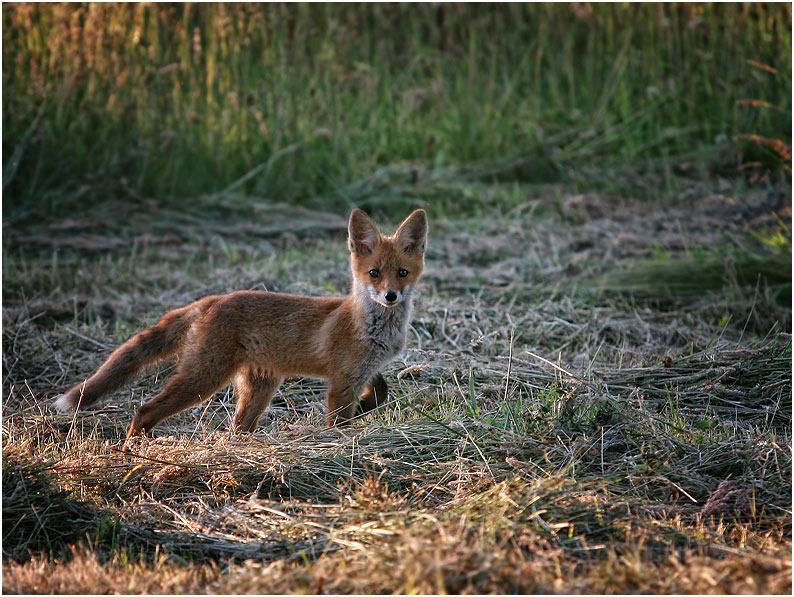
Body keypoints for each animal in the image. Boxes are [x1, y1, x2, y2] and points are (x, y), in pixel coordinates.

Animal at [55, 207, 426, 444]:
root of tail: (212, 299)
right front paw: (335, 438)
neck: (372, 330)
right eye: (374, 273)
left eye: (402, 273)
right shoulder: (341, 382)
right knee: (145, 410)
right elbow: (339, 420)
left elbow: (380, 391)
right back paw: (134, 451)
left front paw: (364, 410)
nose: (390, 296)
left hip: (258, 388)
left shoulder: (361, 373)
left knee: (237, 428)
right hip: (204, 379)